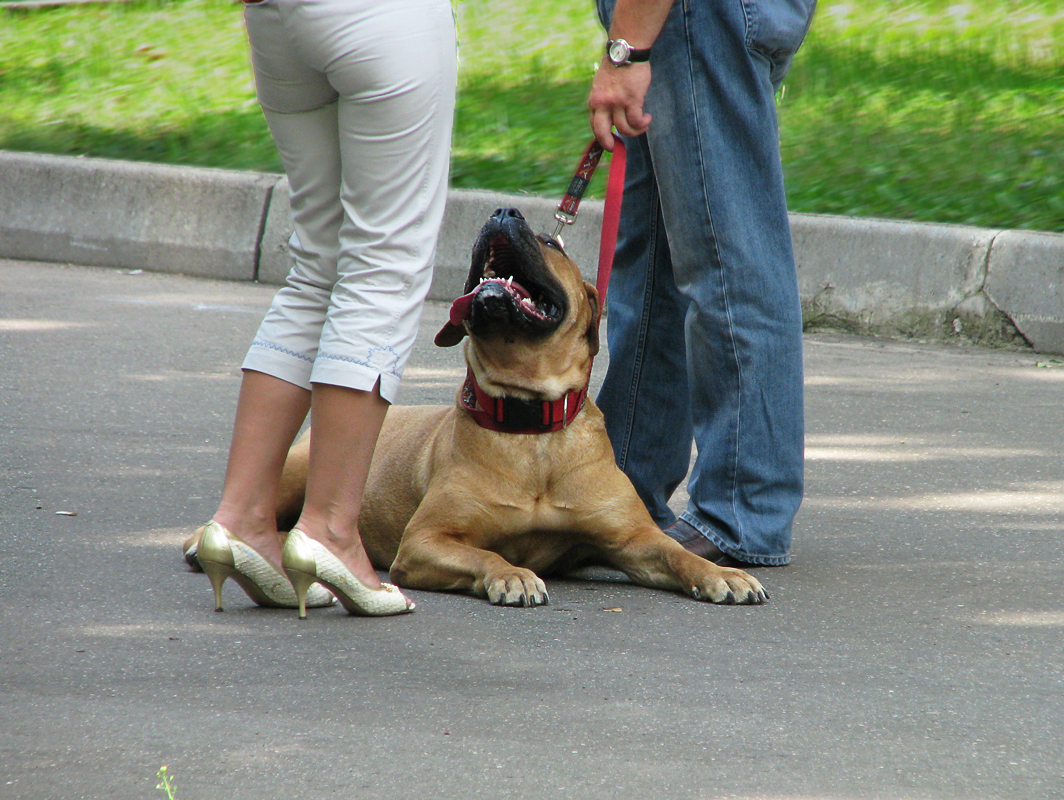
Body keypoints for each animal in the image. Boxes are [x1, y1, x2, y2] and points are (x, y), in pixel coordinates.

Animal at [263, 207, 766, 604]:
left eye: (550, 243)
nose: (503, 211)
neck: (532, 421)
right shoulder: (426, 540)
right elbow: (483, 552)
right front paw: (512, 575)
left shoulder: (632, 538)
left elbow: (675, 552)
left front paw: (720, 573)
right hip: (293, 475)